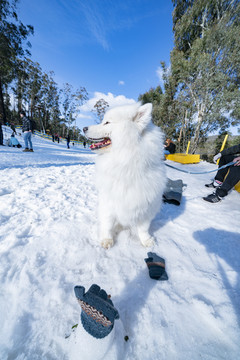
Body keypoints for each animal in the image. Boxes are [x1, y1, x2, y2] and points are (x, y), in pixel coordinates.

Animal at [83, 101, 166, 248]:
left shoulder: (147, 207)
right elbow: (107, 223)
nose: (83, 128)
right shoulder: (109, 202)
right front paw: (107, 240)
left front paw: (146, 241)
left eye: (107, 122)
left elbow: (143, 228)